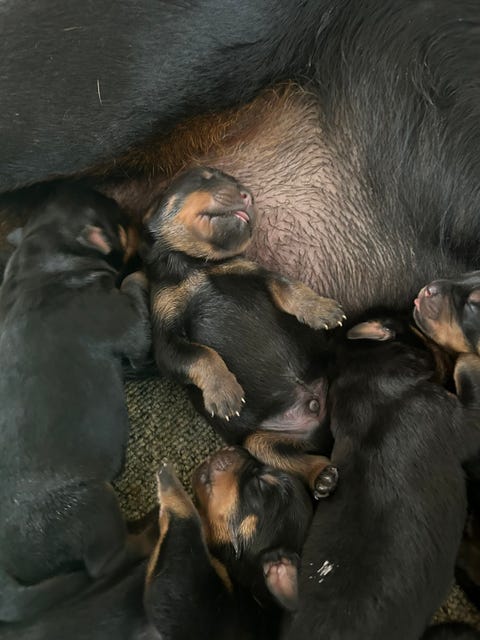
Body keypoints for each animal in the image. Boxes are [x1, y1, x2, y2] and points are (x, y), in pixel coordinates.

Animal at [0, 185, 151, 622]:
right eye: (122, 219)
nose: (142, 221)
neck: (42, 257)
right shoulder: (126, 321)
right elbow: (133, 285)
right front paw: (141, 271)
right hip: (89, 503)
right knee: (106, 562)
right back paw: (149, 531)